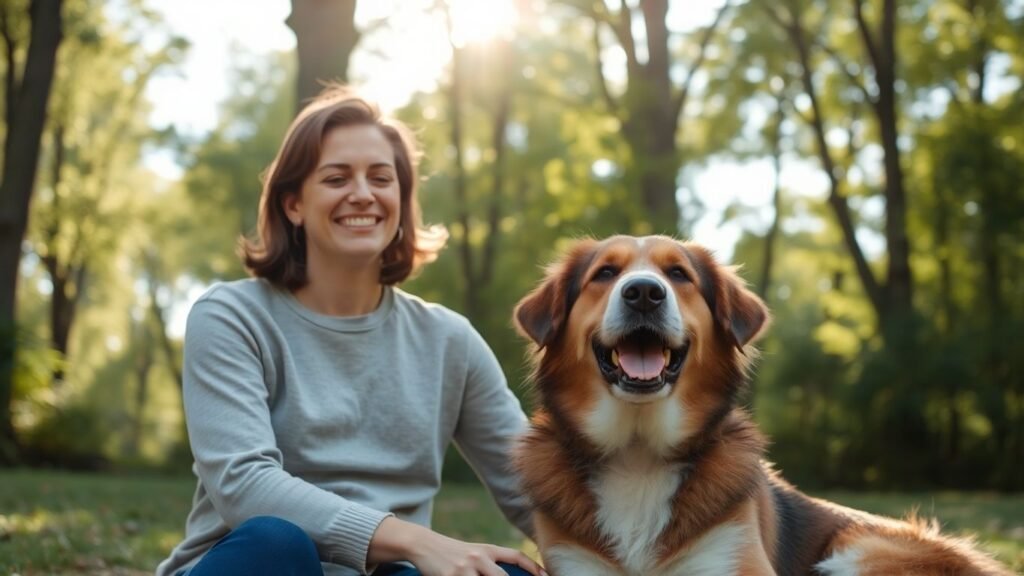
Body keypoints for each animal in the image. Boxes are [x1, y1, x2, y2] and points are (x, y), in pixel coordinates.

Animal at [512, 234, 1007, 573]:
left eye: (678, 275)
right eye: (605, 274)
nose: (644, 293)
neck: (639, 455)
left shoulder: (737, 559)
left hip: (859, 552)